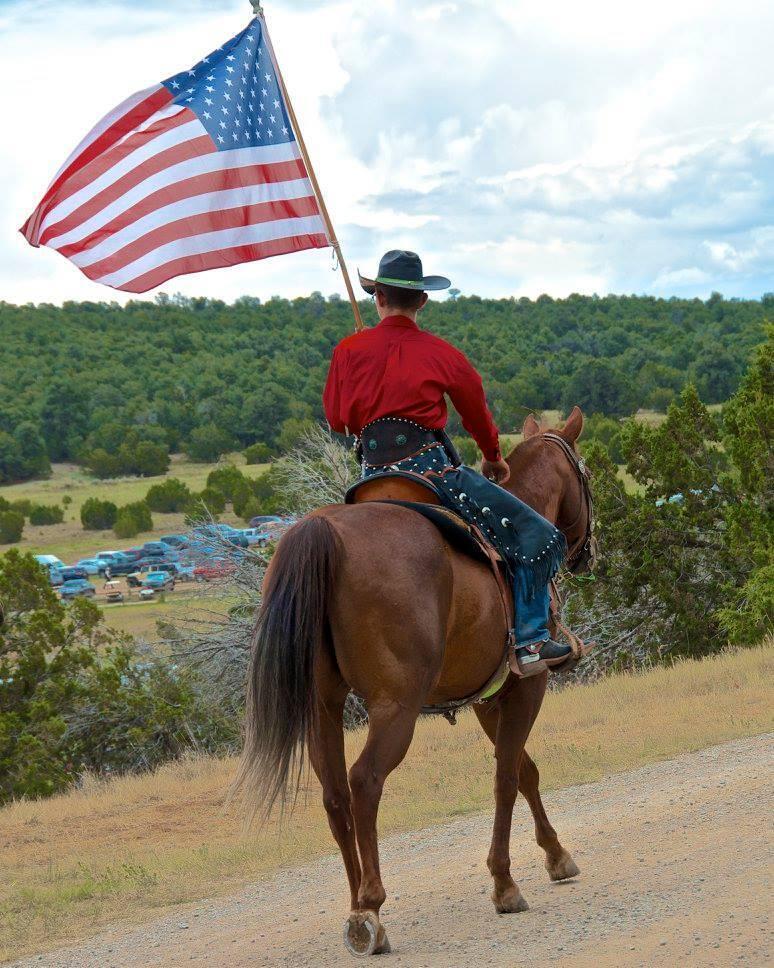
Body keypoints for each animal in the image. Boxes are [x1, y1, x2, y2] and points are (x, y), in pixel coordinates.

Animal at [239, 404, 592, 956]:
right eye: (586, 476)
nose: (587, 551)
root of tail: (325, 533)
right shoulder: (525, 684)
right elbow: (507, 777)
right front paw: (505, 883)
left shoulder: (486, 698)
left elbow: (524, 770)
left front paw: (556, 856)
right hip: (395, 708)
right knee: (365, 781)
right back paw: (370, 907)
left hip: (323, 707)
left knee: (335, 793)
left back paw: (357, 905)